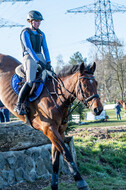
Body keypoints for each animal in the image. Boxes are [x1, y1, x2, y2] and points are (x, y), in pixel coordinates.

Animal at [0, 53, 103, 190]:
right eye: (85, 85)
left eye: (96, 83)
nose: (98, 109)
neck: (56, 97)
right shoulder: (49, 129)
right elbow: (66, 153)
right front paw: (81, 183)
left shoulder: (59, 131)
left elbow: (55, 160)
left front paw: (54, 185)